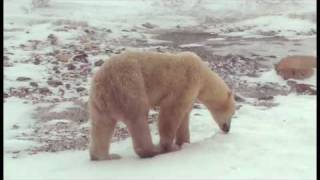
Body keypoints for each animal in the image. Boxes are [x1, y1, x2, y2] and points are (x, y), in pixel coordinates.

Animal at [89, 50, 236, 160]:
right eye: (233, 113)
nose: (228, 129)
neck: (203, 74)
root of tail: (101, 83)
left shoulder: (190, 94)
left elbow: (184, 116)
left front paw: (184, 142)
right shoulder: (185, 82)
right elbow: (171, 111)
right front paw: (170, 146)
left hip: (100, 103)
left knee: (101, 126)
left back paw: (105, 156)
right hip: (129, 85)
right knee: (138, 117)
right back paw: (153, 150)